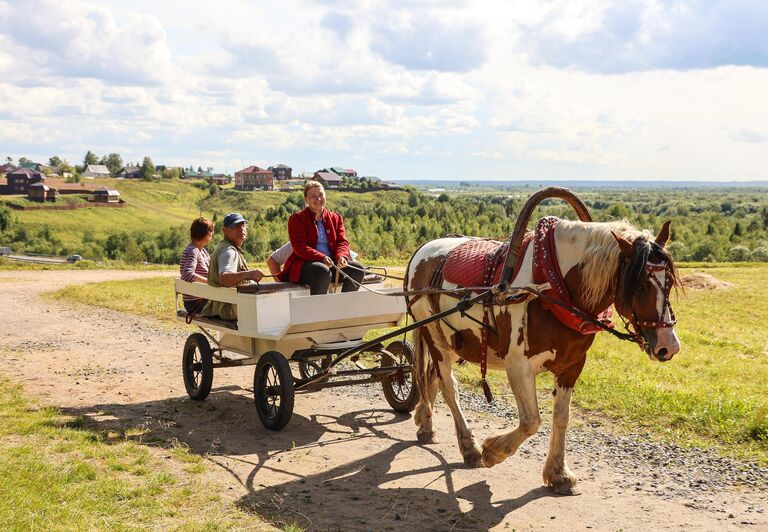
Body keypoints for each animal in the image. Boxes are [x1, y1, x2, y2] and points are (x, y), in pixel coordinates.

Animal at [404, 215, 680, 494]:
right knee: (449, 386)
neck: (550, 288)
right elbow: (531, 421)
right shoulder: (518, 364)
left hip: (450, 341)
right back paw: (469, 447)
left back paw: (426, 423)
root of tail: (422, 250)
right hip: (431, 331)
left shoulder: (572, 366)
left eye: (668, 282)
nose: (668, 346)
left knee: (433, 377)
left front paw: (559, 473)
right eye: (640, 286)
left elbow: (561, 417)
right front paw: (493, 451)